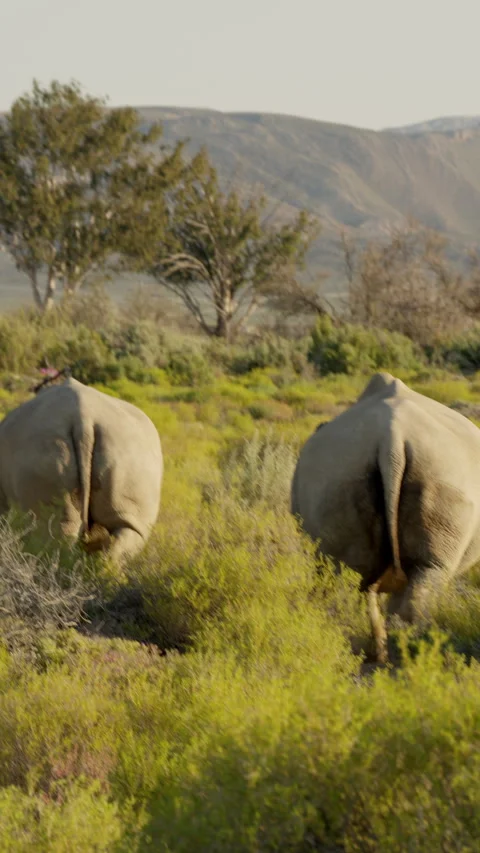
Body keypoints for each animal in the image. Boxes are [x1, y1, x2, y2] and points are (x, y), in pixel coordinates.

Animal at [291, 372, 480, 662]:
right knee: (420, 574)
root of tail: (392, 437)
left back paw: (376, 652)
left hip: (339, 473)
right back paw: (407, 656)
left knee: (348, 571)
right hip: (442, 470)